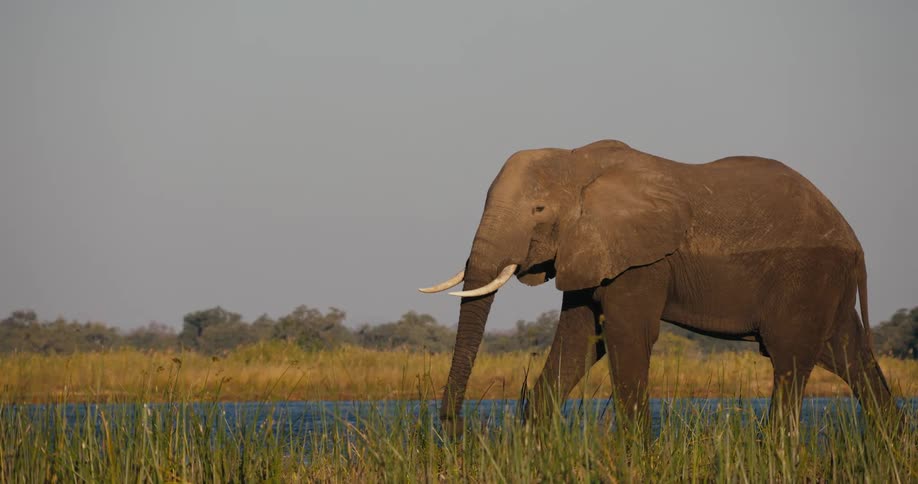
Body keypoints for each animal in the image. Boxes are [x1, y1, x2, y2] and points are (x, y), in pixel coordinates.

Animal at [420, 139, 894, 432]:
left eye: (538, 209)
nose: (457, 428)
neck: (577, 161)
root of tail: (852, 237)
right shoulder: (592, 249)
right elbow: (579, 340)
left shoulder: (643, 259)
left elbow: (627, 335)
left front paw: (633, 453)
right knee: (848, 355)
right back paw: (887, 444)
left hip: (807, 274)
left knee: (790, 357)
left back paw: (775, 447)